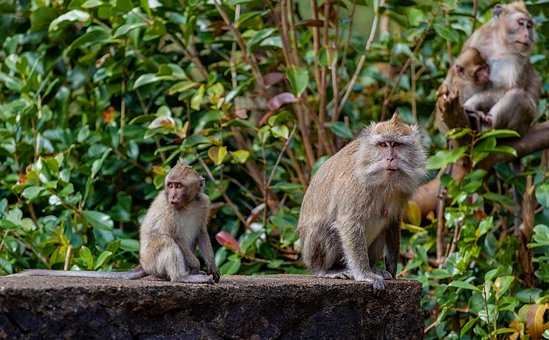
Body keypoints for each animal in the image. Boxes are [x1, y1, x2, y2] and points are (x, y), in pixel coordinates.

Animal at [298, 114, 426, 290]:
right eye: (383, 145)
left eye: (397, 145)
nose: (390, 158)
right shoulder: (355, 184)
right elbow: (349, 222)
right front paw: (365, 275)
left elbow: (393, 221)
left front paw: (392, 269)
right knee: (325, 229)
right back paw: (326, 270)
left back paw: (373, 267)